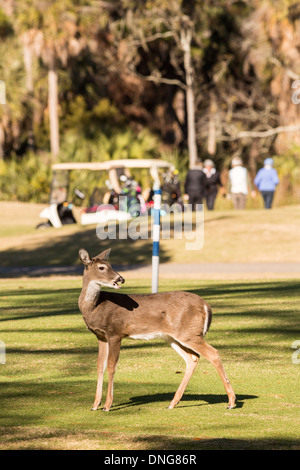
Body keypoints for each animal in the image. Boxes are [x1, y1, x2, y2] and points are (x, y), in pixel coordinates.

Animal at [77, 248, 234, 410]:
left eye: (110, 265)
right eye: (102, 267)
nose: (121, 279)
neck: (96, 307)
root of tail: (205, 305)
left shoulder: (115, 332)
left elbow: (111, 366)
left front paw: (107, 405)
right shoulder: (101, 336)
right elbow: (99, 365)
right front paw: (95, 404)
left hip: (189, 333)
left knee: (212, 353)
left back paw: (231, 402)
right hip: (173, 337)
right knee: (192, 358)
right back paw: (173, 403)